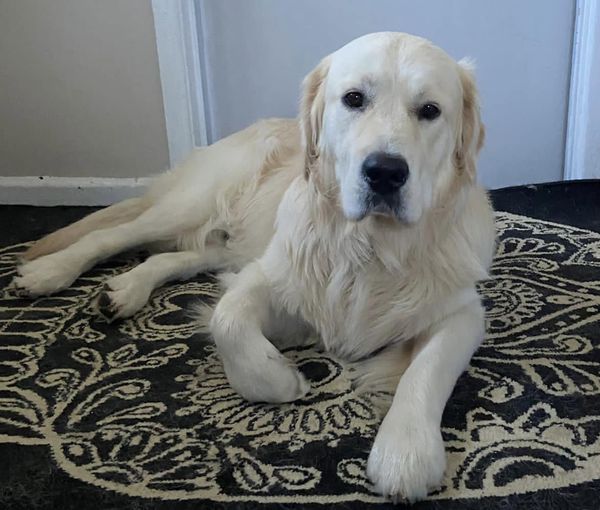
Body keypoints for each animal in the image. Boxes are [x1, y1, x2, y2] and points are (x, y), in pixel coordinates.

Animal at [11, 32, 496, 502]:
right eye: (354, 98)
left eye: (430, 110)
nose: (385, 172)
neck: (371, 245)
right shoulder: (271, 275)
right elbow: (228, 321)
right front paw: (282, 379)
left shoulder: (462, 313)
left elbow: (427, 369)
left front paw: (406, 452)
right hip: (193, 203)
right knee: (115, 233)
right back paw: (48, 271)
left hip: (227, 243)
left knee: (172, 256)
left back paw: (124, 290)